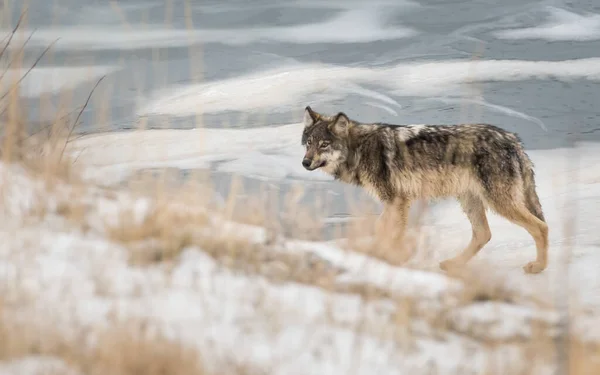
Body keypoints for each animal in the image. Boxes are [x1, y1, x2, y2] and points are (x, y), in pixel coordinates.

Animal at [300, 107, 548, 274]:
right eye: (308, 143)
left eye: (324, 144)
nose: (305, 162)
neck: (359, 149)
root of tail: (514, 141)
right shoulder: (395, 201)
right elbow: (380, 227)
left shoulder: (397, 201)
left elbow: (391, 232)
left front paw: (393, 258)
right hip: (470, 200)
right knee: (483, 234)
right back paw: (453, 264)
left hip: (498, 202)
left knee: (541, 227)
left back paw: (539, 267)